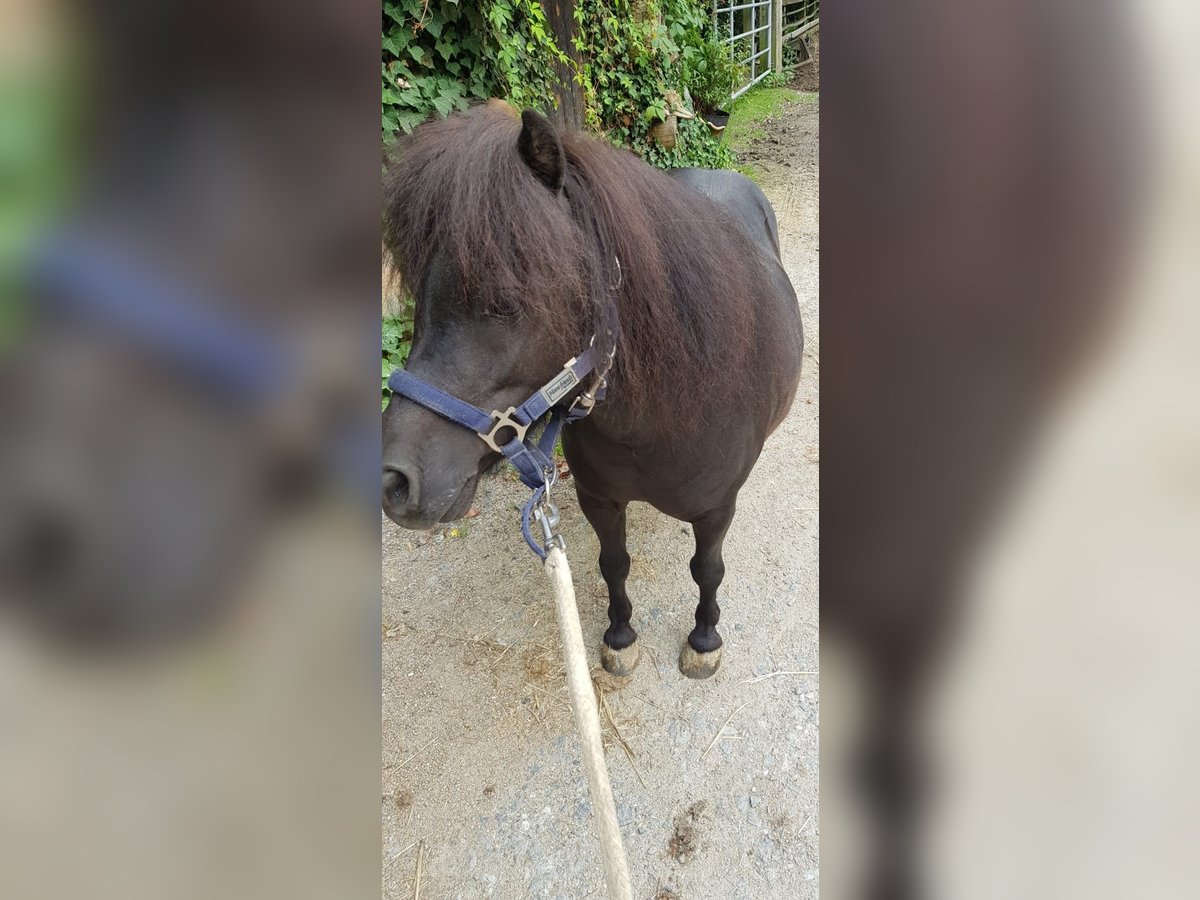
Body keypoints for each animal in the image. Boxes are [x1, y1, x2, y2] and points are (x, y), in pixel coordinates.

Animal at [379, 105, 801, 681]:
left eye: (507, 299)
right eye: (416, 295)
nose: (392, 481)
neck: (661, 418)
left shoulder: (716, 510)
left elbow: (707, 569)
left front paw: (704, 639)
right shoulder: (598, 498)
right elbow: (613, 564)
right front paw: (620, 637)